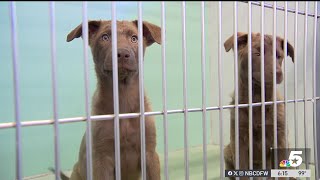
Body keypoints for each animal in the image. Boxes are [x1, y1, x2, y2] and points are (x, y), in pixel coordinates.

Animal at [63, 19, 162, 180]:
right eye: (105, 37)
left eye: (134, 38)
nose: (122, 54)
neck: (122, 98)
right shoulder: (102, 160)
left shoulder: (150, 154)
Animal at [222, 31, 296, 179]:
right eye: (257, 54)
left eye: (279, 56)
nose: (278, 73)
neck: (257, 99)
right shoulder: (239, 140)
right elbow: (242, 171)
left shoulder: (280, 138)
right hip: (227, 150)